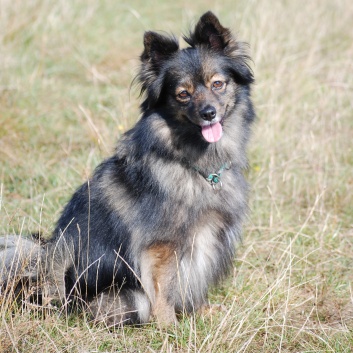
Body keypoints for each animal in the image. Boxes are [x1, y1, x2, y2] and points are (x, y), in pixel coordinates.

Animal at [0, 11, 253, 324]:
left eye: (218, 84)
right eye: (183, 94)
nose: (209, 113)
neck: (192, 163)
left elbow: (195, 280)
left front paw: (201, 311)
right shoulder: (161, 246)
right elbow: (165, 288)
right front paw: (169, 325)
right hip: (120, 294)